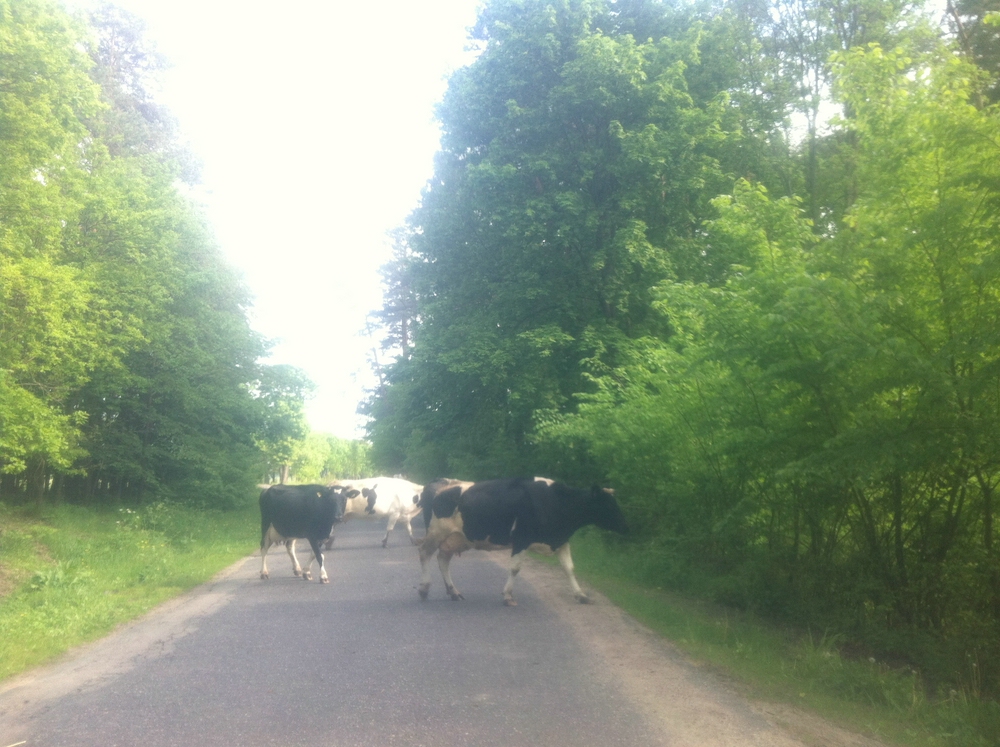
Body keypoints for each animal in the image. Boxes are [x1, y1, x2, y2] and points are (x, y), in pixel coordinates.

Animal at [418, 477, 627, 606]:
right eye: (607, 504)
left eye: (615, 503)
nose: (626, 525)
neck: (555, 503)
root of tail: (440, 481)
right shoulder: (521, 539)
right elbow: (515, 568)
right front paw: (508, 596)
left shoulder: (560, 540)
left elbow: (569, 568)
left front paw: (581, 595)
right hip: (435, 533)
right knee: (424, 554)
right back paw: (424, 588)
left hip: (455, 538)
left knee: (443, 560)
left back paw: (454, 592)